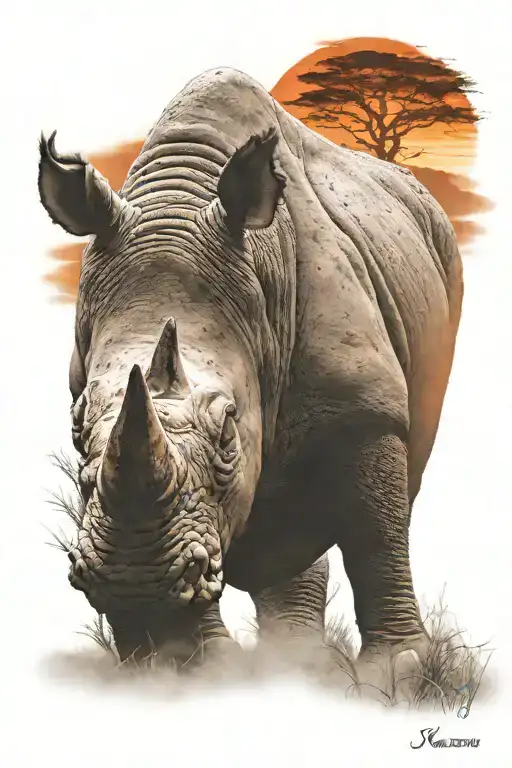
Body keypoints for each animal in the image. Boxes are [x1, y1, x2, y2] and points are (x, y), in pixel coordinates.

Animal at [38, 67, 463, 665]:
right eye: (76, 427)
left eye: (228, 431)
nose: (133, 579)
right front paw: (192, 667)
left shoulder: (365, 403)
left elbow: (376, 529)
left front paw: (400, 667)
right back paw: (289, 659)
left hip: (442, 258)